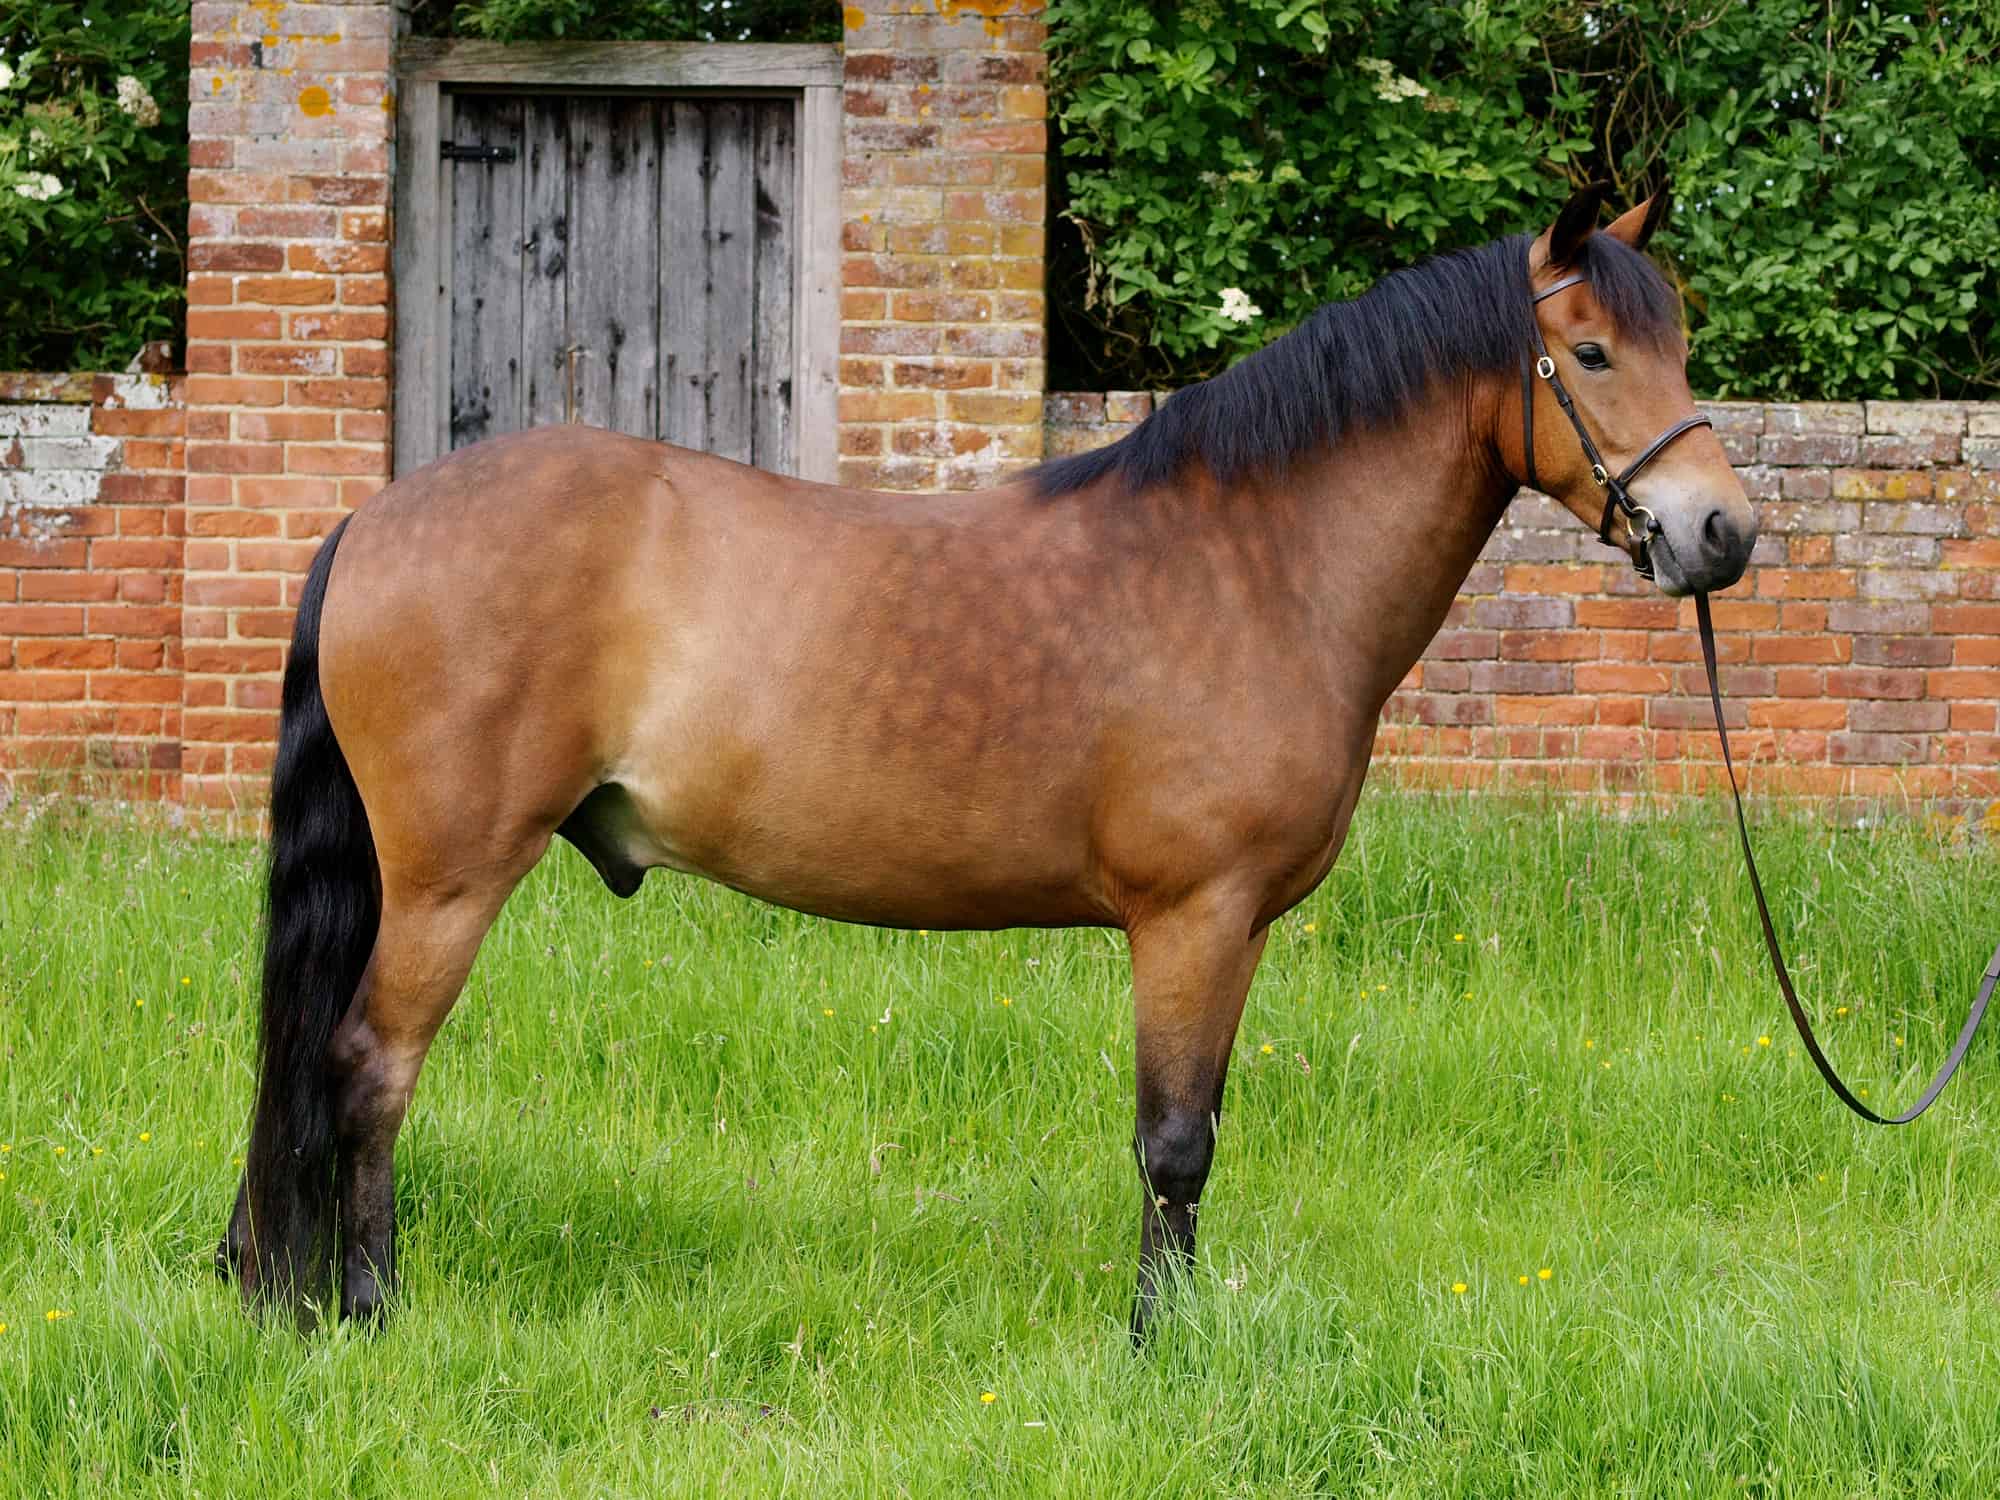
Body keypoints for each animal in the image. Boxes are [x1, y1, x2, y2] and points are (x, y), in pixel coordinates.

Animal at [218, 180, 1757, 1338]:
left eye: (1677, 343)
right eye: (1595, 355)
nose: (1721, 533)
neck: (1251, 567)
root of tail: (374, 519)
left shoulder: (1241, 931)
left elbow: (1199, 1134)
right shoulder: (1189, 919)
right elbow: (1171, 1141)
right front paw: (1153, 1350)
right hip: (447, 879)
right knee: (367, 1068)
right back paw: (371, 1309)